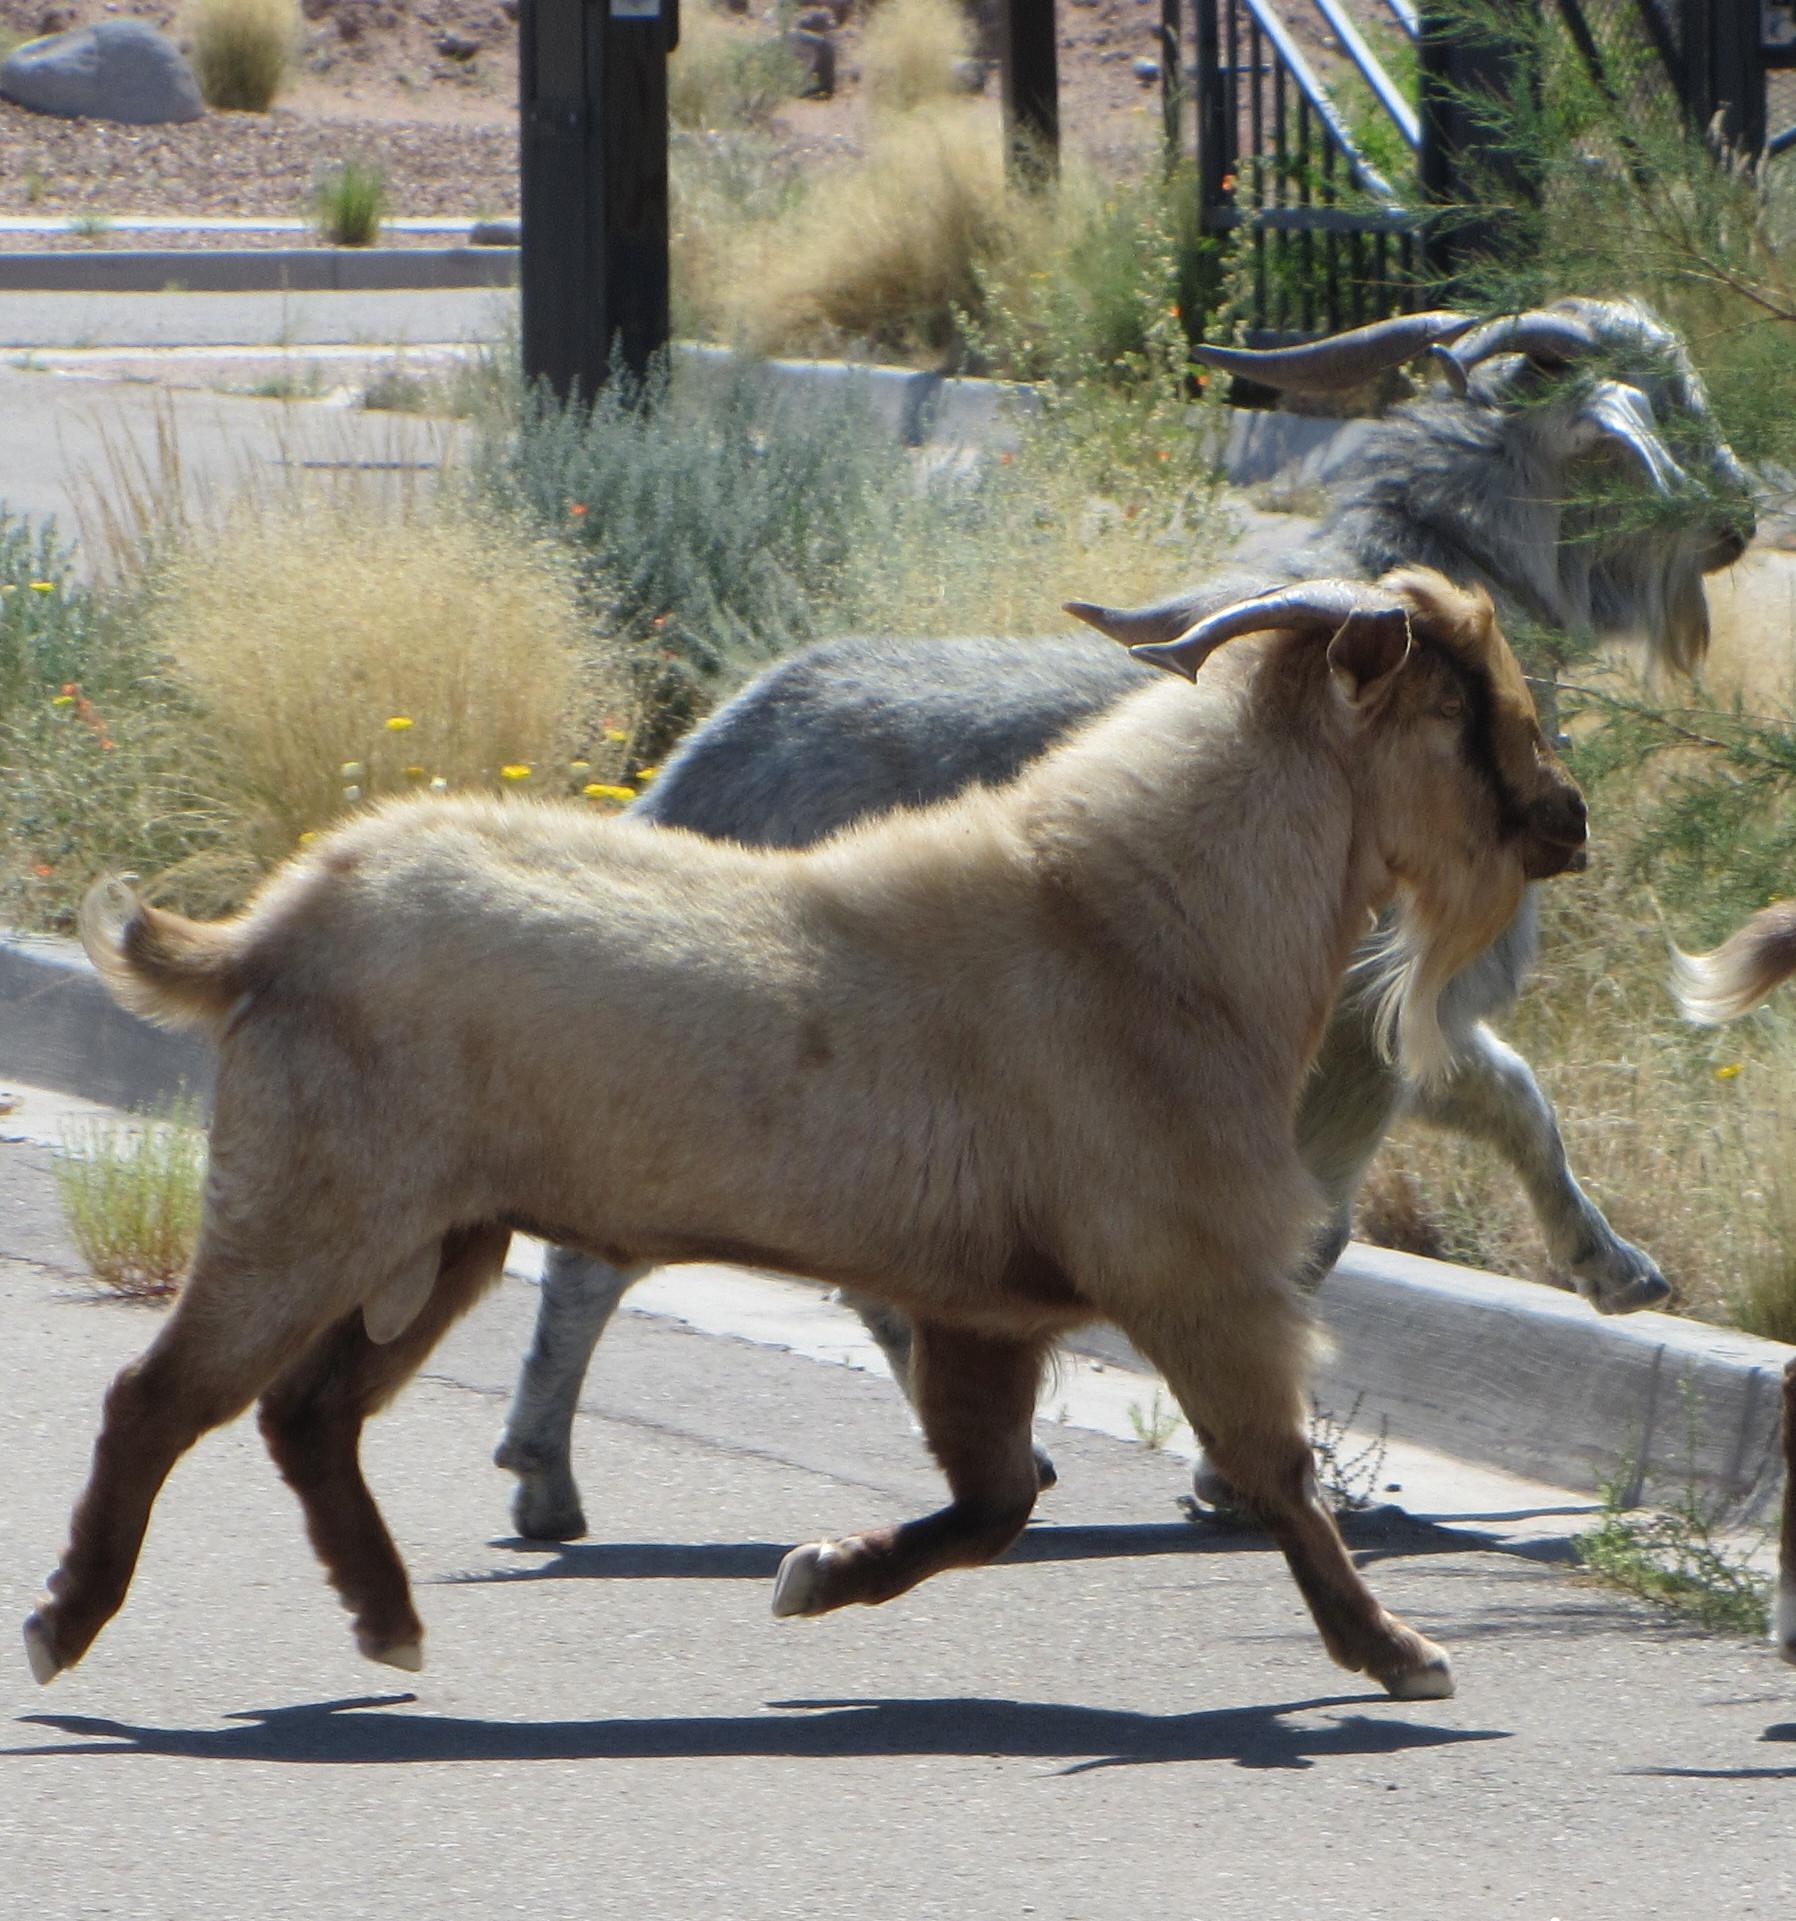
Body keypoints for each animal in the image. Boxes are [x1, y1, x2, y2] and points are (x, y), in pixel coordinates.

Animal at [26, 570, 1586, 1700]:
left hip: (443, 1231)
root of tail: (262, 936)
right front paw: (1398, 1654)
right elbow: (1270, 1473)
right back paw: (65, 1624)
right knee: (162, 1396)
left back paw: (386, 1618)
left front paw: (822, 1571)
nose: (1568, 817)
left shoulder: (982, 1310)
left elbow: (999, 1498)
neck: (1138, 922)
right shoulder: (1191, 1271)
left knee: (309, 1412)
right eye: (1466, 705)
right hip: (312, 1204)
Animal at [498, 295, 1756, 1542]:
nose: (1740, 513)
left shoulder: (1391, 1022)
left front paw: (1614, 1271)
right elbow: (1331, 1223)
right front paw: (1233, 1475)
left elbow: (1507, 1101)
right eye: (1665, 408)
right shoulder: (1350, 1031)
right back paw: (544, 1474)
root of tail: (692, 772)